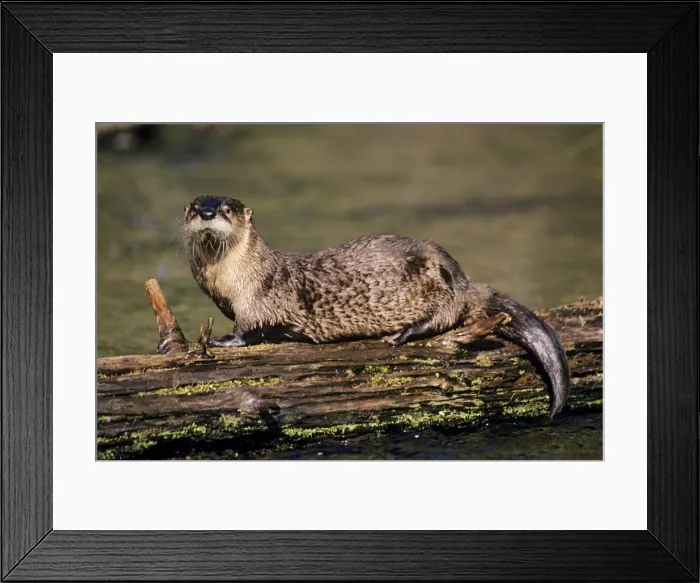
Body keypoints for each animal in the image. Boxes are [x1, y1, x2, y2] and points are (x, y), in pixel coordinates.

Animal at [180, 195, 571, 417]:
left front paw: (222, 340)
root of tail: (459, 275)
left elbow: (250, 329)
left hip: (439, 286)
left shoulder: (259, 298)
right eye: (193, 207)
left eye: (226, 209)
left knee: (446, 317)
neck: (231, 280)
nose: (208, 212)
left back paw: (403, 334)